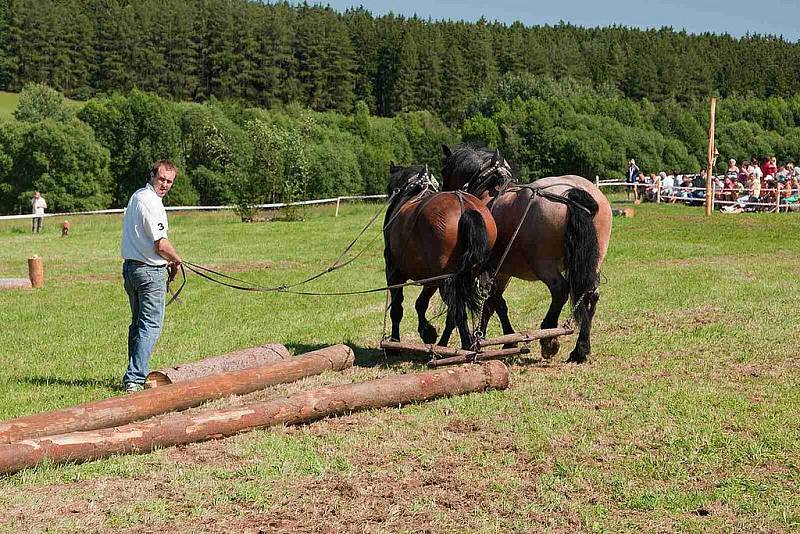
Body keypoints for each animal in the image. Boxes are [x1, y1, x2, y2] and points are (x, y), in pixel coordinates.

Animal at [384, 163, 496, 350]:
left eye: (389, 187)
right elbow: (421, 304)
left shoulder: (394, 273)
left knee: (457, 310)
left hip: (447, 280)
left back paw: (464, 345)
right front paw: (427, 331)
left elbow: (397, 308)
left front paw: (394, 342)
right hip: (461, 276)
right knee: (455, 311)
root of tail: (465, 208)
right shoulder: (432, 278)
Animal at [440, 146, 608, 364]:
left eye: (444, 171)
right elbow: (493, 304)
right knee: (589, 294)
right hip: (592, 262)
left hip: (544, 265)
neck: (486, 190)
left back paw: (548, 337)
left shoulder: (485, 270)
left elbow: (494, 303)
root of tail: (573, 191)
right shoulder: (500, 271)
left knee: (560, 290)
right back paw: (580, 349)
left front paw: (498, 341)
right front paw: (493, 340)